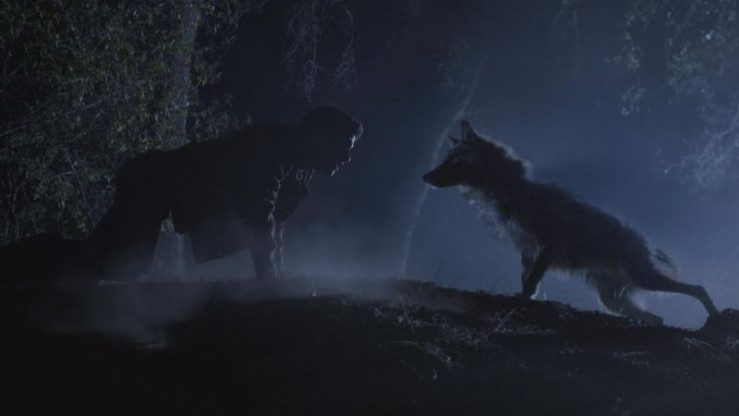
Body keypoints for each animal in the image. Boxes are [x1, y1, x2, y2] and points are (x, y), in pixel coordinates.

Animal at [423, 120, 719, 325]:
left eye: (456, 161)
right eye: (447, 160)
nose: (425, 177)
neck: (513, 191)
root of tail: (642, 241)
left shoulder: (548, 246)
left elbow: (530, 283)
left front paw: (522, 302)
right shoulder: (527, 250)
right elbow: (525, 279)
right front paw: (523, 299)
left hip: (642, 280)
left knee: (698, 289)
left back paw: (715, 316)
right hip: (612, 298)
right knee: (656, 318)